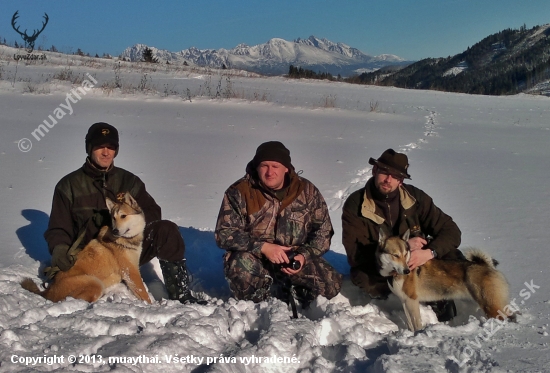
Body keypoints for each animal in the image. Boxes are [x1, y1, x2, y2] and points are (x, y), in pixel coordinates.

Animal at [21, 192, 152, 302]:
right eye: (113, 218)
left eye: (123, 216)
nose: (115, 230)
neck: (125, 240)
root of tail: (48, 291)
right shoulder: (130, 271)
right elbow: (143, 292)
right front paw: (149, 305)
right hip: (94, 283)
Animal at [380, 230, 512, 332]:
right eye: (395, 255)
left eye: (405, 253)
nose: (407, 271)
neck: (393, 274)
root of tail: (485, 265)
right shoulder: (404, 300)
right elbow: (409, 323)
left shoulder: (412, 300)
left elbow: (416, 323)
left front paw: (417, 334)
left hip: (490, 305)